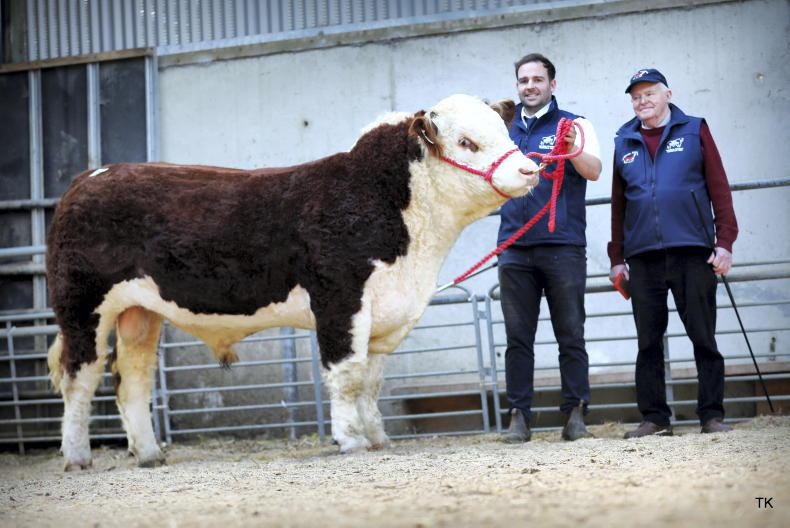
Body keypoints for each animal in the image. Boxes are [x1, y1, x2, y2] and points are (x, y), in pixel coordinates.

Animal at [46, 94, 539, 470]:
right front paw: (350, 440)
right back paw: (77, 457)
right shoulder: (340, 299)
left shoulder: (383, 315)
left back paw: (149, 454)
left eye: (505, 131)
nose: (529, 170)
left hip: (140, 313)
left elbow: (371, 381)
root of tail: (90, 177)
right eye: (466, 141)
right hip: (82, 305)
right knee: (80, 378)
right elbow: (347, 376)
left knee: (132, 378)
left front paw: (378, 437)